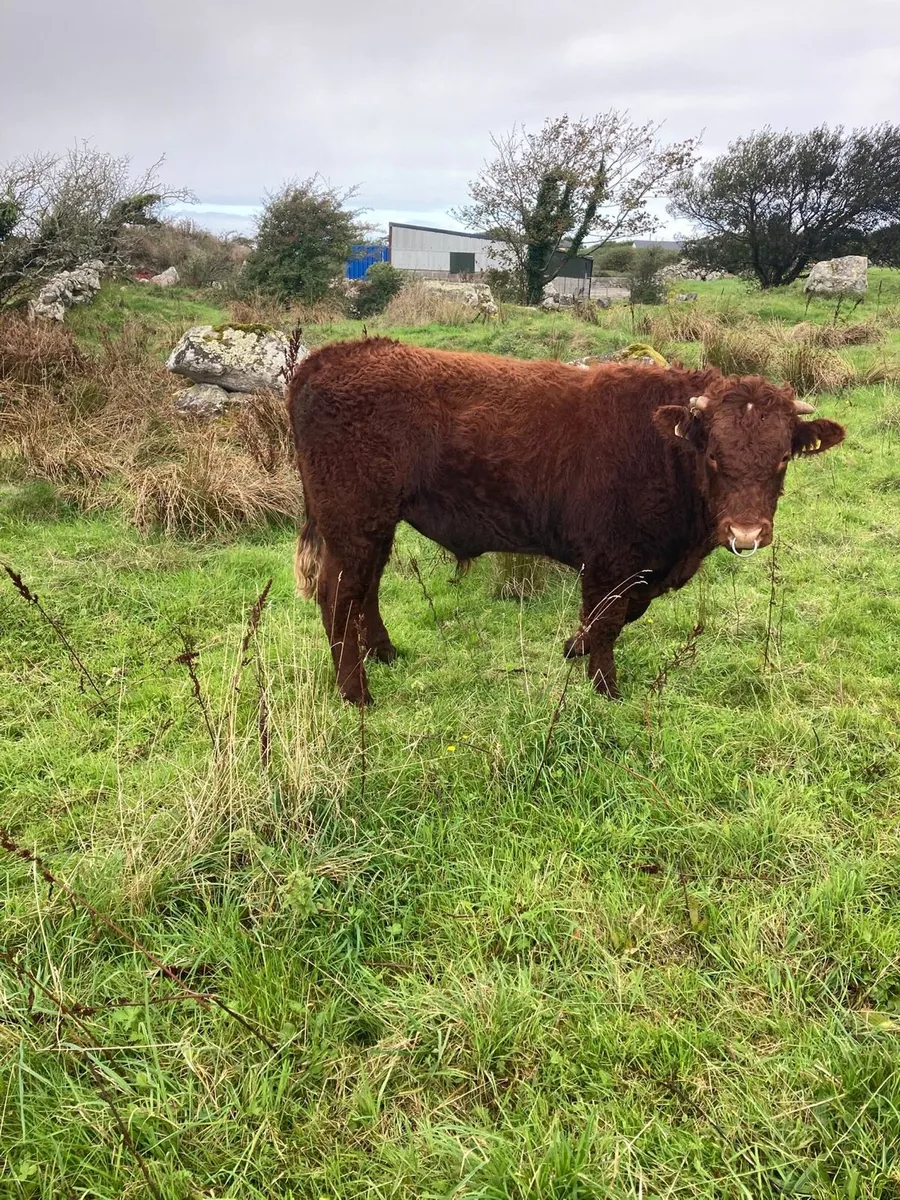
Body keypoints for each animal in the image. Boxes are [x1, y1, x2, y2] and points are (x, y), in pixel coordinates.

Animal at [287, 337, 845, 705]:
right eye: (712, 455)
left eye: (782, 458)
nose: (745, 532)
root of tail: (330, 356)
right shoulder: (611, 559)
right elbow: (608, 620)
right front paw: (605, 687)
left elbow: (612, 617)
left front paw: (573, 648)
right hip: (353, 520)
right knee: (338, 596)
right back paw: (357, 693)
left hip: (375, 524)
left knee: (367, 588)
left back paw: (384, 653)